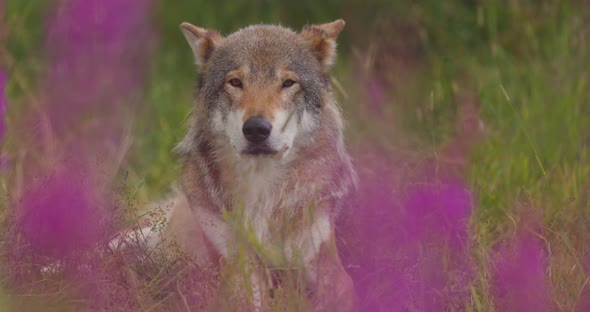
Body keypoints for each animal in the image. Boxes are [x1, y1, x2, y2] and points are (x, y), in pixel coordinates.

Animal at [115, 20, 358, 312]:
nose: (256, 129)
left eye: (288, 83)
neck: (262, 199)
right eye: (235, 82)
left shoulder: (326, 269)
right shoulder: (238, 269)